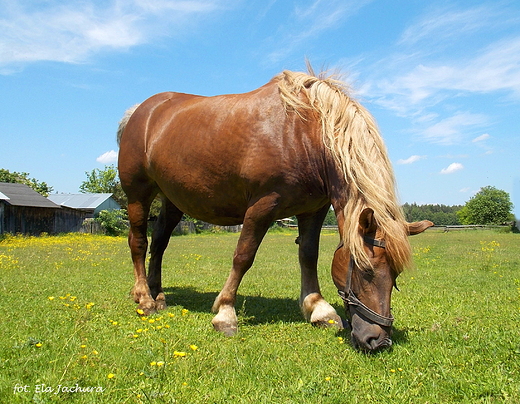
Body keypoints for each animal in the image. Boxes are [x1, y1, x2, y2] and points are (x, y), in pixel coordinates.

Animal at [117, 68, 430, 350]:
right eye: (365, 271)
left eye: (396, 277)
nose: (378, 340)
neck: (304, 134)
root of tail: (140, 111)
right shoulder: (262, 206)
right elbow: (243, 256)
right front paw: (225, 312)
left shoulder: (314, 210)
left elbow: (308, 256)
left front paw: (318, 308)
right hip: (138, 195)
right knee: (138, 242)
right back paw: (144, 298)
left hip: (173, 200)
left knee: (159, 243)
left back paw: (158, 295)